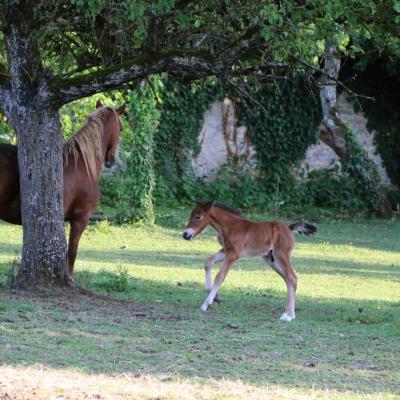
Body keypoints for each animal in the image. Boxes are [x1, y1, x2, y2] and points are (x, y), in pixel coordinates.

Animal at [183, 200, 318, 322]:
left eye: (198, 217)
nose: (185, 234)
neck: (229, 226)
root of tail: (289, 229)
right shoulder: (225, 251)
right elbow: (208, 262)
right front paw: (215, 297)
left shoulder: (233, 255)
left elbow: (220, 276)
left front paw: (205, 304)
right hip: (271, 260)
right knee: (288, 279)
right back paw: (290, 314)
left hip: (281, 255)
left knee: (292, 278)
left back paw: (288, 316)